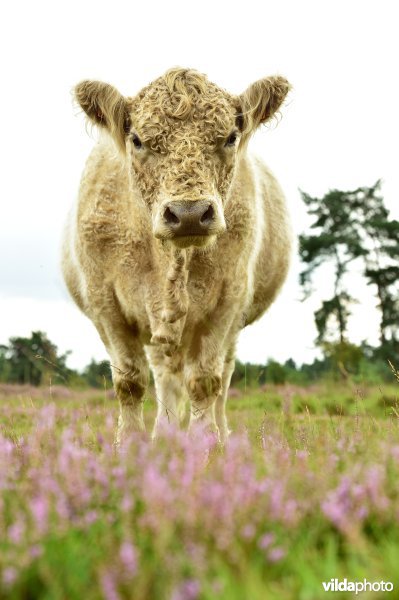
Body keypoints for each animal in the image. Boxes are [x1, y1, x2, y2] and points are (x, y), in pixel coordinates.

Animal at [63, 69, 294, 446]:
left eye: (230, 137)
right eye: (138, 140)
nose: (189, 213)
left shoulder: (227, 302)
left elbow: (205, 381)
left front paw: (206, 445)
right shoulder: (106, 305)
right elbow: (130, 382)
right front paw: (130, 446)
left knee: (221, 379)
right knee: (165, 377)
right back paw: (164, 434)